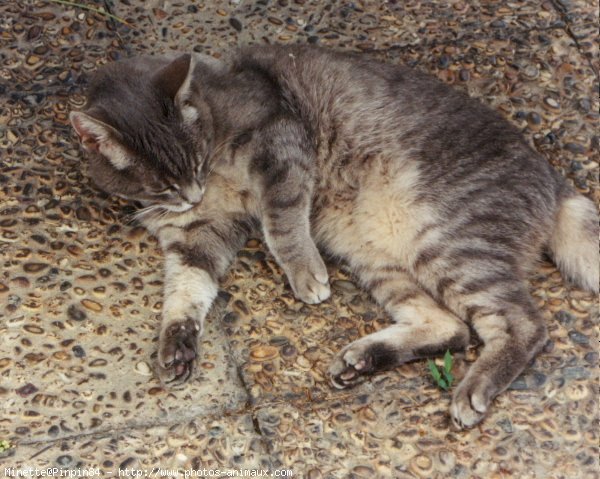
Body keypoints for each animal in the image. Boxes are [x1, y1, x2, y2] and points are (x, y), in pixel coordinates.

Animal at [69, 45, 596, 430]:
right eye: (164, 183)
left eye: (196, 162)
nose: (192, 193)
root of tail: (555, 180)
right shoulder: (195, 237)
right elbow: (186, 291)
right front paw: (177, 343)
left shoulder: (281, 147)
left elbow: (283, 223)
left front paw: (305, 273)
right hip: (378, 258)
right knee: (451, 327)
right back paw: (363, 360)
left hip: (449, 243)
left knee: (523, 325)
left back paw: (473, 390)